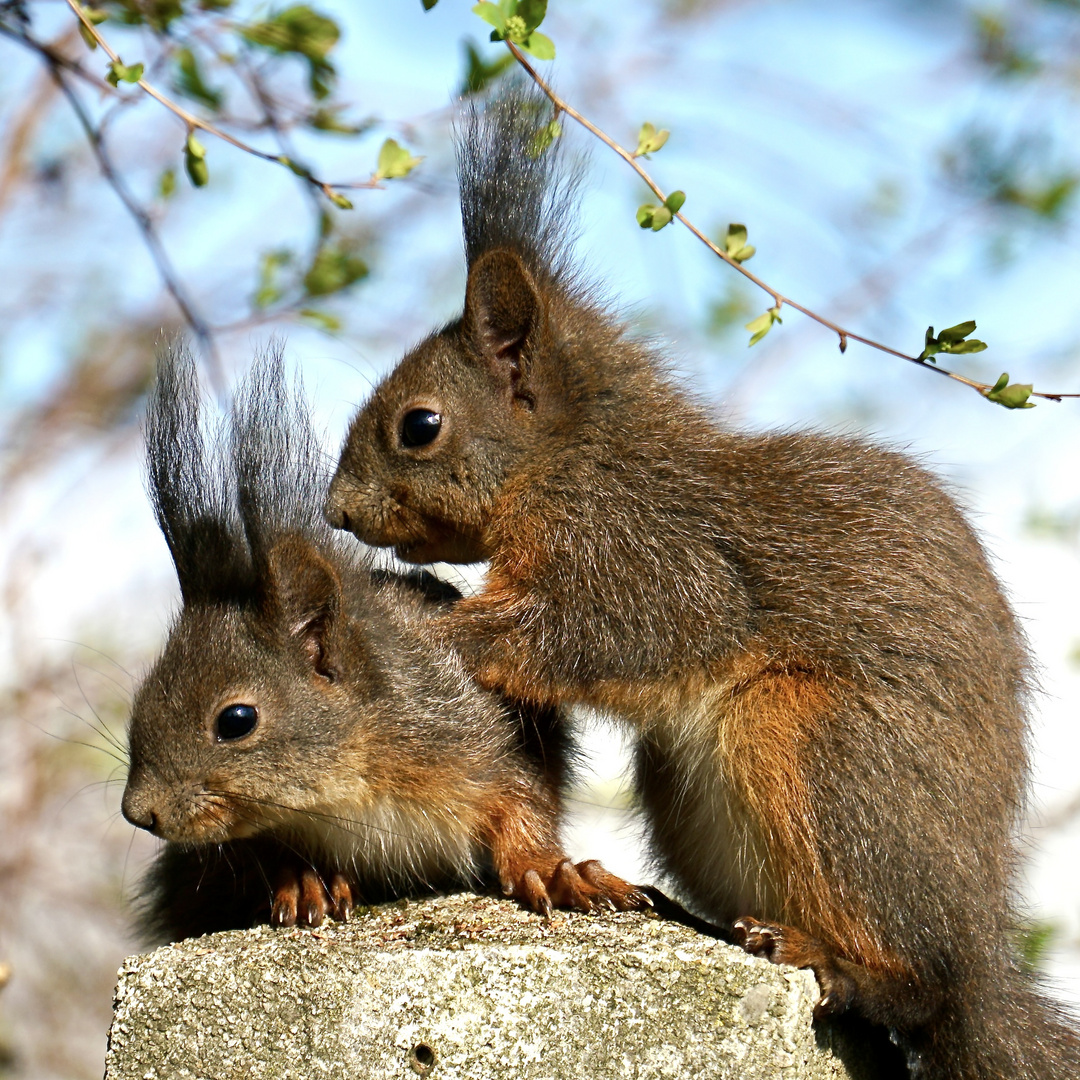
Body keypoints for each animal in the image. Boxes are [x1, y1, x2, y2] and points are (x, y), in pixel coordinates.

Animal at [121, 341, 643, 941]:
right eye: (142, 697)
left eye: (236, 720)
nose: (139, 813)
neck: (351, 789)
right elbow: (264, 854)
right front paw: (304, 880)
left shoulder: (489, 735)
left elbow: (524, 806)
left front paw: (553, 871)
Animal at [324, 88, 1080, 1080]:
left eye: (419, 426)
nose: (333, 508)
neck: (575, 461)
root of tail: (981, 945)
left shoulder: (657, 561)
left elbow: (605, 632)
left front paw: (428, 636)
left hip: (824, 750)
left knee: (921, 986)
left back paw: (836, 961)